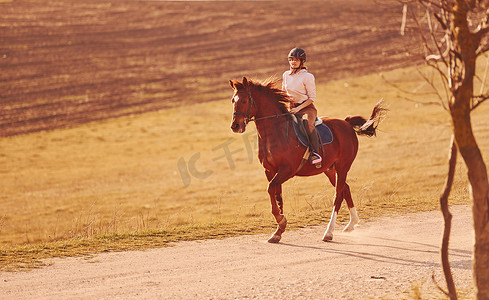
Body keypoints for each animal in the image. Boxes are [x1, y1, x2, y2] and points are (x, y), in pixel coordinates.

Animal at [229, 76, 386, 243]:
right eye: (233, 100)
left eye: (244, 100)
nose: (235, 126)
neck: (275, 132)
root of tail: (346, 123)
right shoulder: (270, 171)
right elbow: (277, 197)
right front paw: (278, 231)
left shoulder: (287, 170)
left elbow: (271, 189)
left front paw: (281, 221)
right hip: (330, 169)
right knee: (346, 188)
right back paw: (351, 223)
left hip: (343, 166)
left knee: (338, 195)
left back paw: (329, 232)